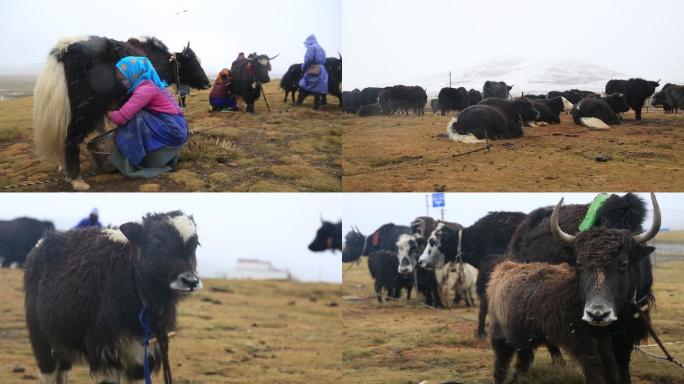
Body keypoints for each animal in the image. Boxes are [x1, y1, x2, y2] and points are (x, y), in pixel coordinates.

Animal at [25, 212, 202, 382]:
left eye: (195, 245)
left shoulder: (143, 355)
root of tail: (42, 242)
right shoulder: (104, 353)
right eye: (157, 243)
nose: (191, 281)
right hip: (42, 341)